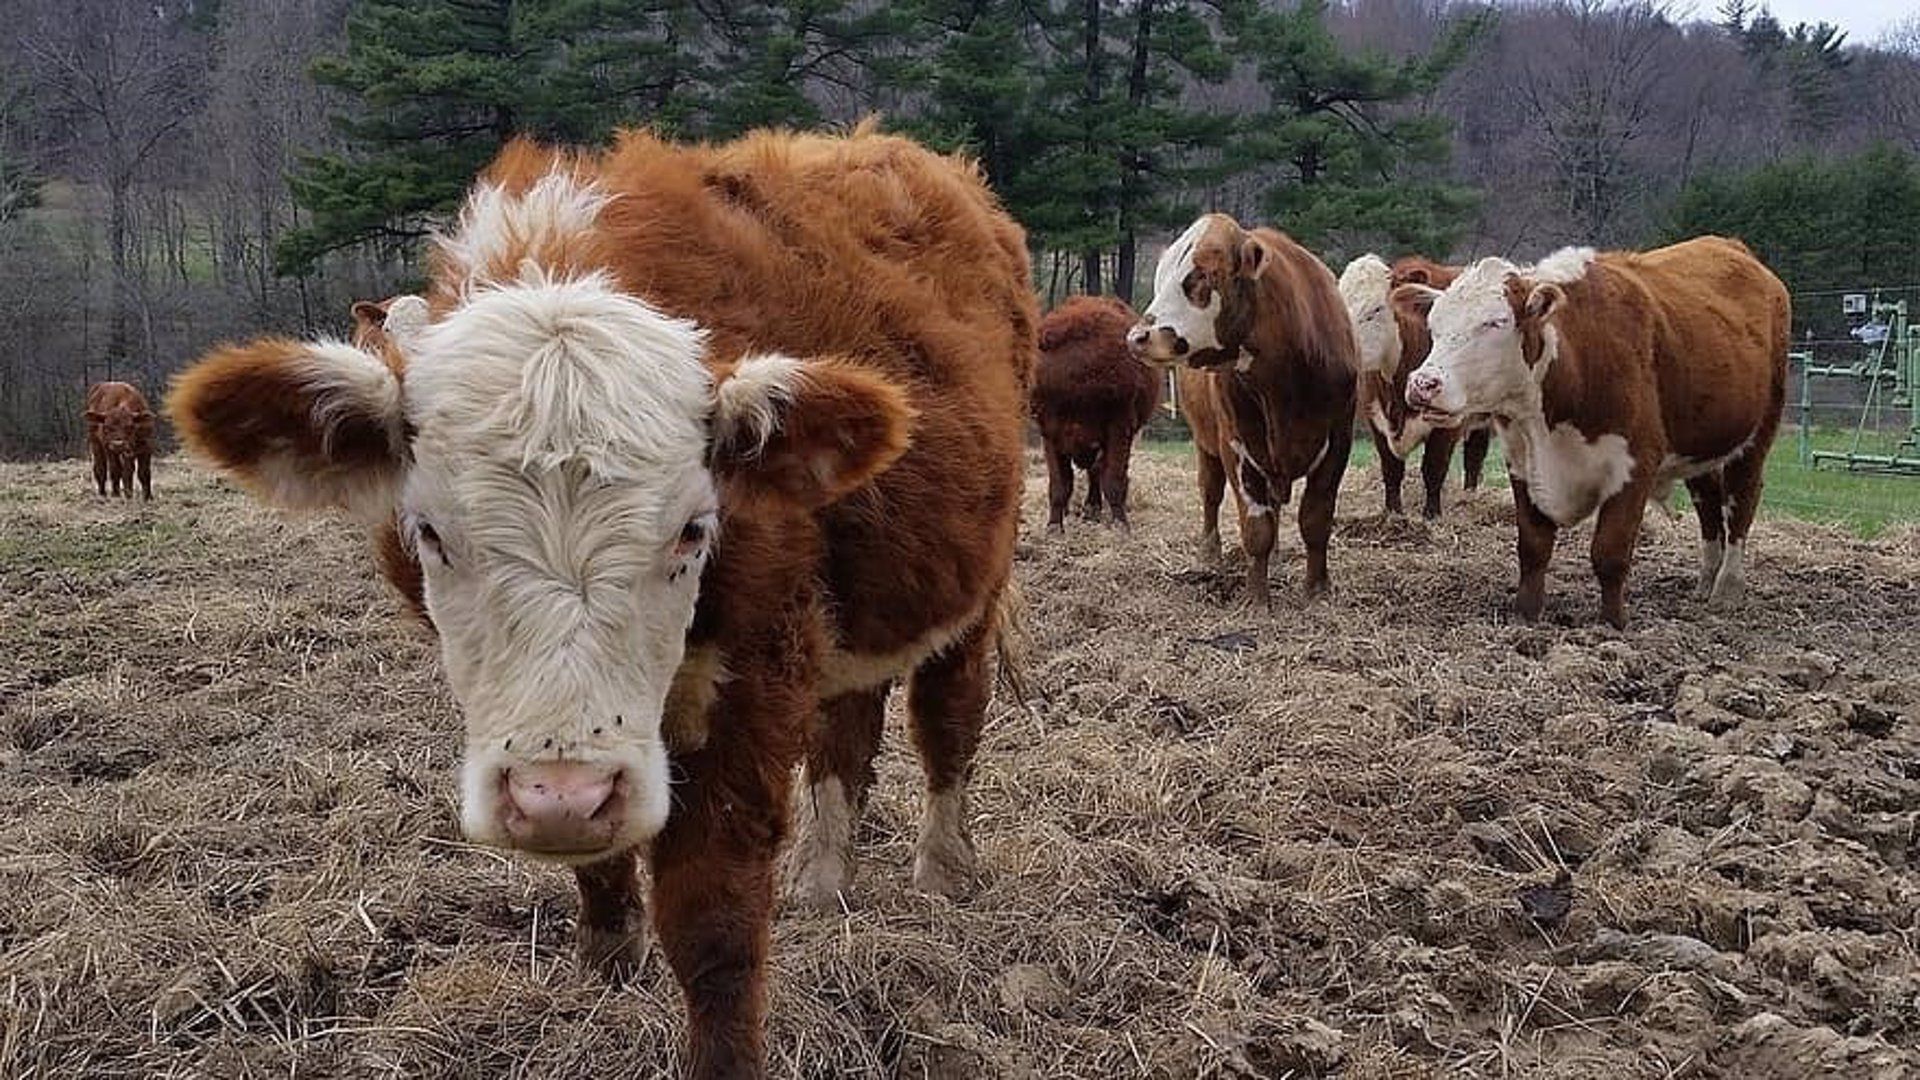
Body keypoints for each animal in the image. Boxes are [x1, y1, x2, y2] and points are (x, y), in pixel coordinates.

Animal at [168, 127, 1036, 1076]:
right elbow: (600, 861)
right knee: (849, 732)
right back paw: (822, 879)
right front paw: (610, 960)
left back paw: (944, 871)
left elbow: (715, 919)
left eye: (694, 530)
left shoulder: (758, 673)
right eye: (429, 531)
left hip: (975, 593)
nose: (561, 795)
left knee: (947, 722)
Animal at [1044, 292, 1159, 530]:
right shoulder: (1051, 434)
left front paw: (1120, 525)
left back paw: (1093, 509)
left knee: (1098, 472)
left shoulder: (1118, 430)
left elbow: (1113, 480)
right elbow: (1060, 485)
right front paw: (1054, 526)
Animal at [1344, 255, 1489, 518]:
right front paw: (1393, 513)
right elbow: (1391, 469)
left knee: (1475, 455)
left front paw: (1431, 515)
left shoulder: (1447, 424)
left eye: (1376, 309)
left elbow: (1433, 468)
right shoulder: (1376, 420)